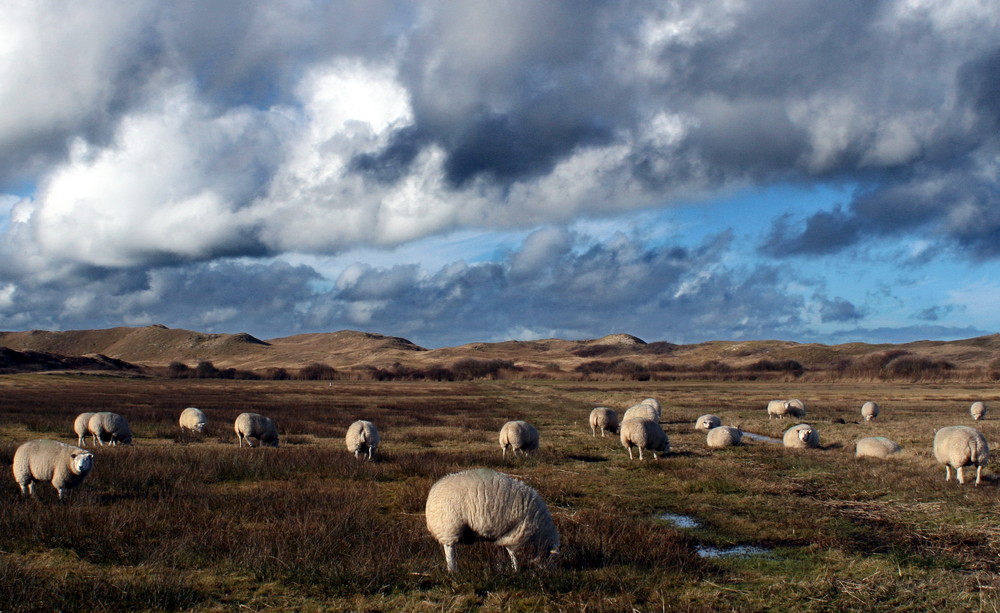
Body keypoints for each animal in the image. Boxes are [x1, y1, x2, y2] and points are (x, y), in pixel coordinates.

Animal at [424, 468, 564, 572]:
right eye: (553, 559)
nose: (552, 573)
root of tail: (433, 491)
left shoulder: (510, 533)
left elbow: (509, 550)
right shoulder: (518, 532)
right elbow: (513, 552)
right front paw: (516, 569)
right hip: (449, 526)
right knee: (449, 550)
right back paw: (453, 571)